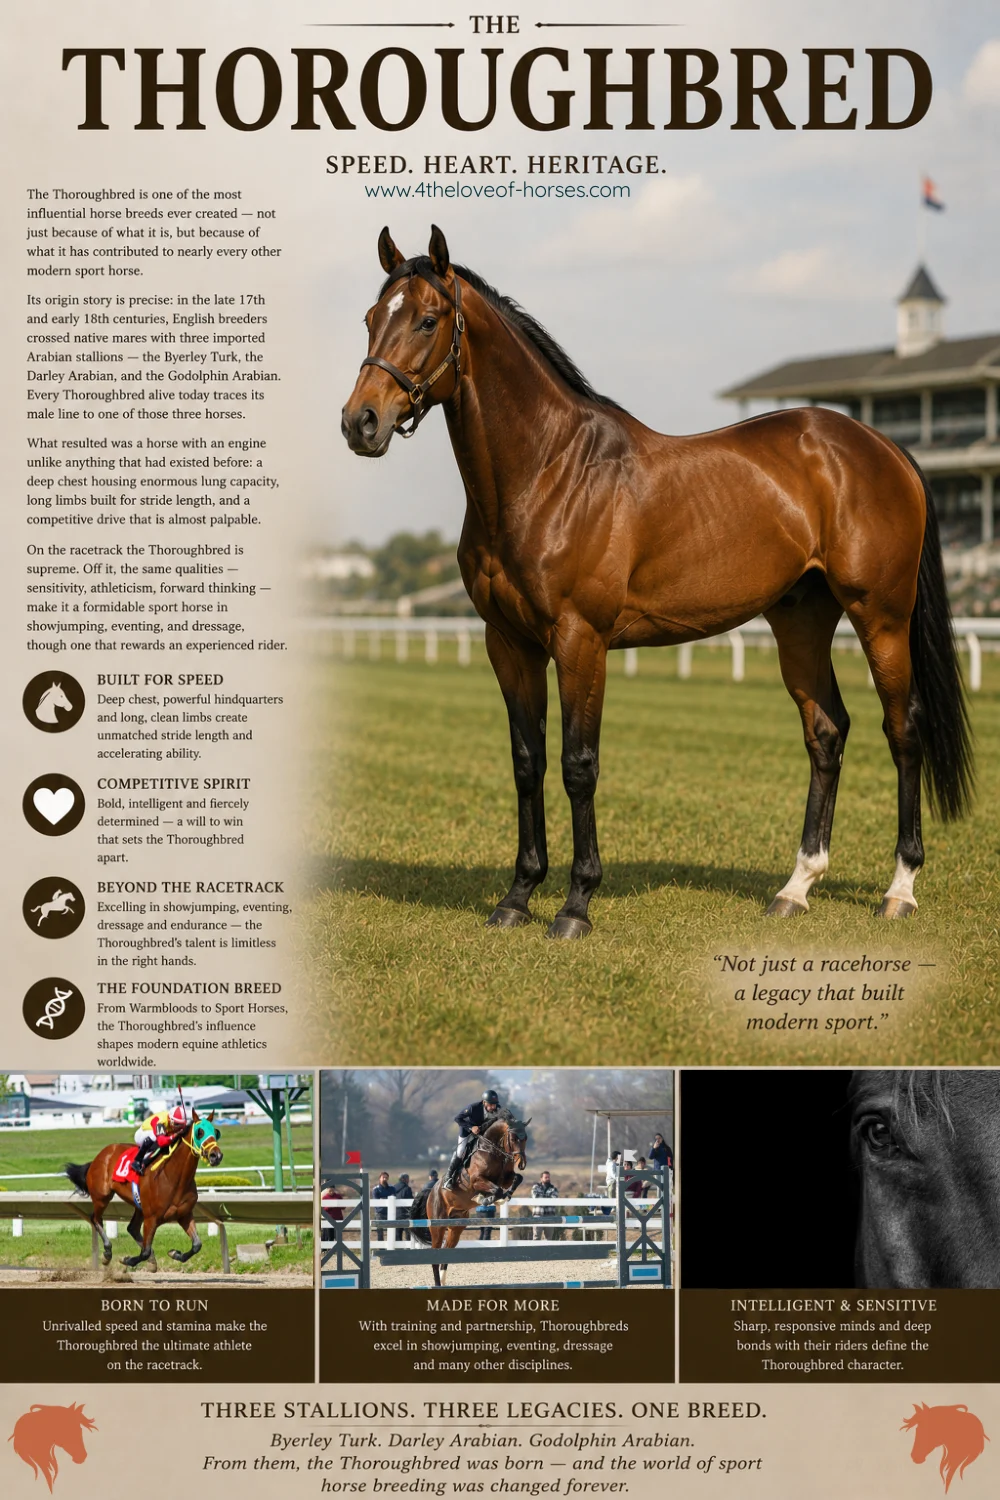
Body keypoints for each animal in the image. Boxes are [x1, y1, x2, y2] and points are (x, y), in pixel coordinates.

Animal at [64, 1111, 222, 1271]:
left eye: (216, 1132)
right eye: (200, 1132)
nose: (216, 1156)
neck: (173, 1177)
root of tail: (100, 1156)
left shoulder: (184, 1214)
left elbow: (197, 1245)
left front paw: (174, 1253)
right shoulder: (151, 1218)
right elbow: (145, 1251)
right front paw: (128, 1260)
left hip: (139, 1206)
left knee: (132, 1228)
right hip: (101, 1197)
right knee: (96, 1219)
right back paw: (107, 1253)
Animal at [342, 226, 973, 937]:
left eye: (427, 320)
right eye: (371, 318)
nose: (360, 422)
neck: (549, 471)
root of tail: (882, 447)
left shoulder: (581, 642)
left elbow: (578, 765)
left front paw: (576, 905)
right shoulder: (508, 644)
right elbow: (528, 763)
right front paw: (516, 897)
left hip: (882, 617)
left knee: (904, 729)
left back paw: (901, 888)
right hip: (801, 619)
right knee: (827, 731)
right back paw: (797, 886)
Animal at [408, 1108, 529, 1287]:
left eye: (525, 1138)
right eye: (513, 1138)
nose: (521, 1163)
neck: (493, 1150)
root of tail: (431, 1192)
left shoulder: (505, 1178)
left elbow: (515, 1180)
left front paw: (503, 1197)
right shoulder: (477, 1181)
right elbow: (496, 1190)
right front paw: (485, 1199)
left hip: (456, 1228)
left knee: (446, 1251)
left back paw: (443, 1282)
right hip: (437, 1226)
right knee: (435, 1256)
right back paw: (437, 1284)